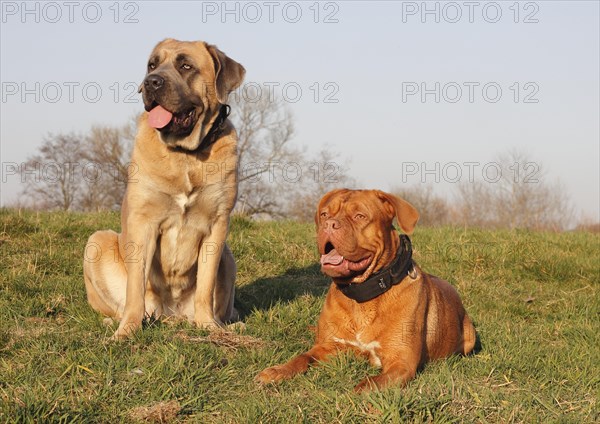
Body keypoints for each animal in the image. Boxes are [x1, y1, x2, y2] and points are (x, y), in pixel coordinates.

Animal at [83, 39, 245, 338]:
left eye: (186, 66)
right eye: (152, 65)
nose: (152, 82)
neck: (186, 155)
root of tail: (173, 315)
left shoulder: (217, 224)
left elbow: (205, 286)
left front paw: (208, 325)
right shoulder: (143, 222)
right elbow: (135, 287)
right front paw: (127, 331)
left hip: (228, 256)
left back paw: (225, 323)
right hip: (97, 240)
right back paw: (117, 321)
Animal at [255, 189, 476, 390]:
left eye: (359, 216)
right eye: (324, 214)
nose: (329, 224)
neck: (361, 294)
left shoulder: (401, 363)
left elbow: (367, 385)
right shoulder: (328, 346)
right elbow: (302, 357)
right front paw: (278, 371)